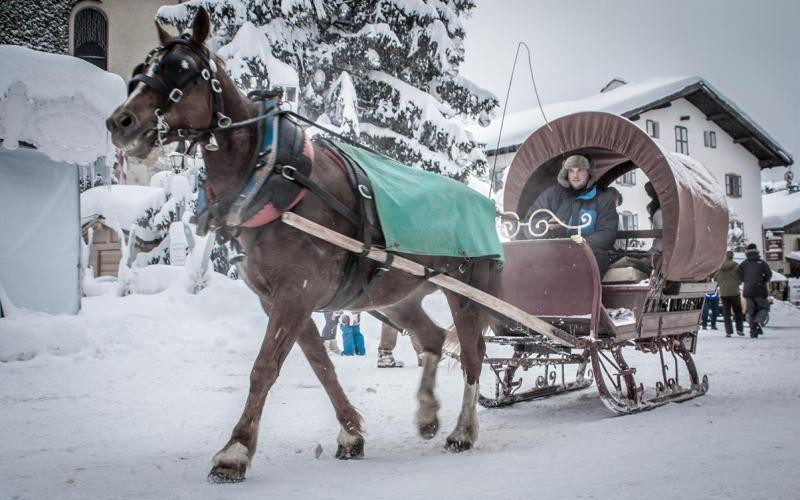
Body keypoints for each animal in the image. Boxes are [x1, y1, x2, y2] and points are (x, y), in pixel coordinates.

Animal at [104, 7, 494, 482]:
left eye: (181, 68)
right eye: (142, 68)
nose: (120, 122)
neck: (274, 173)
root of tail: (484, 202)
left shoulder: (295, 293)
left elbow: (264, 368)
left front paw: (235, 451)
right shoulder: (281, 299)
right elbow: (321, 366)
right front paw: (350, 434)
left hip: (467, 292)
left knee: (473, 355)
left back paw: (463, 430)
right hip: (398, 296)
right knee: (433, 339)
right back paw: (427, 414)